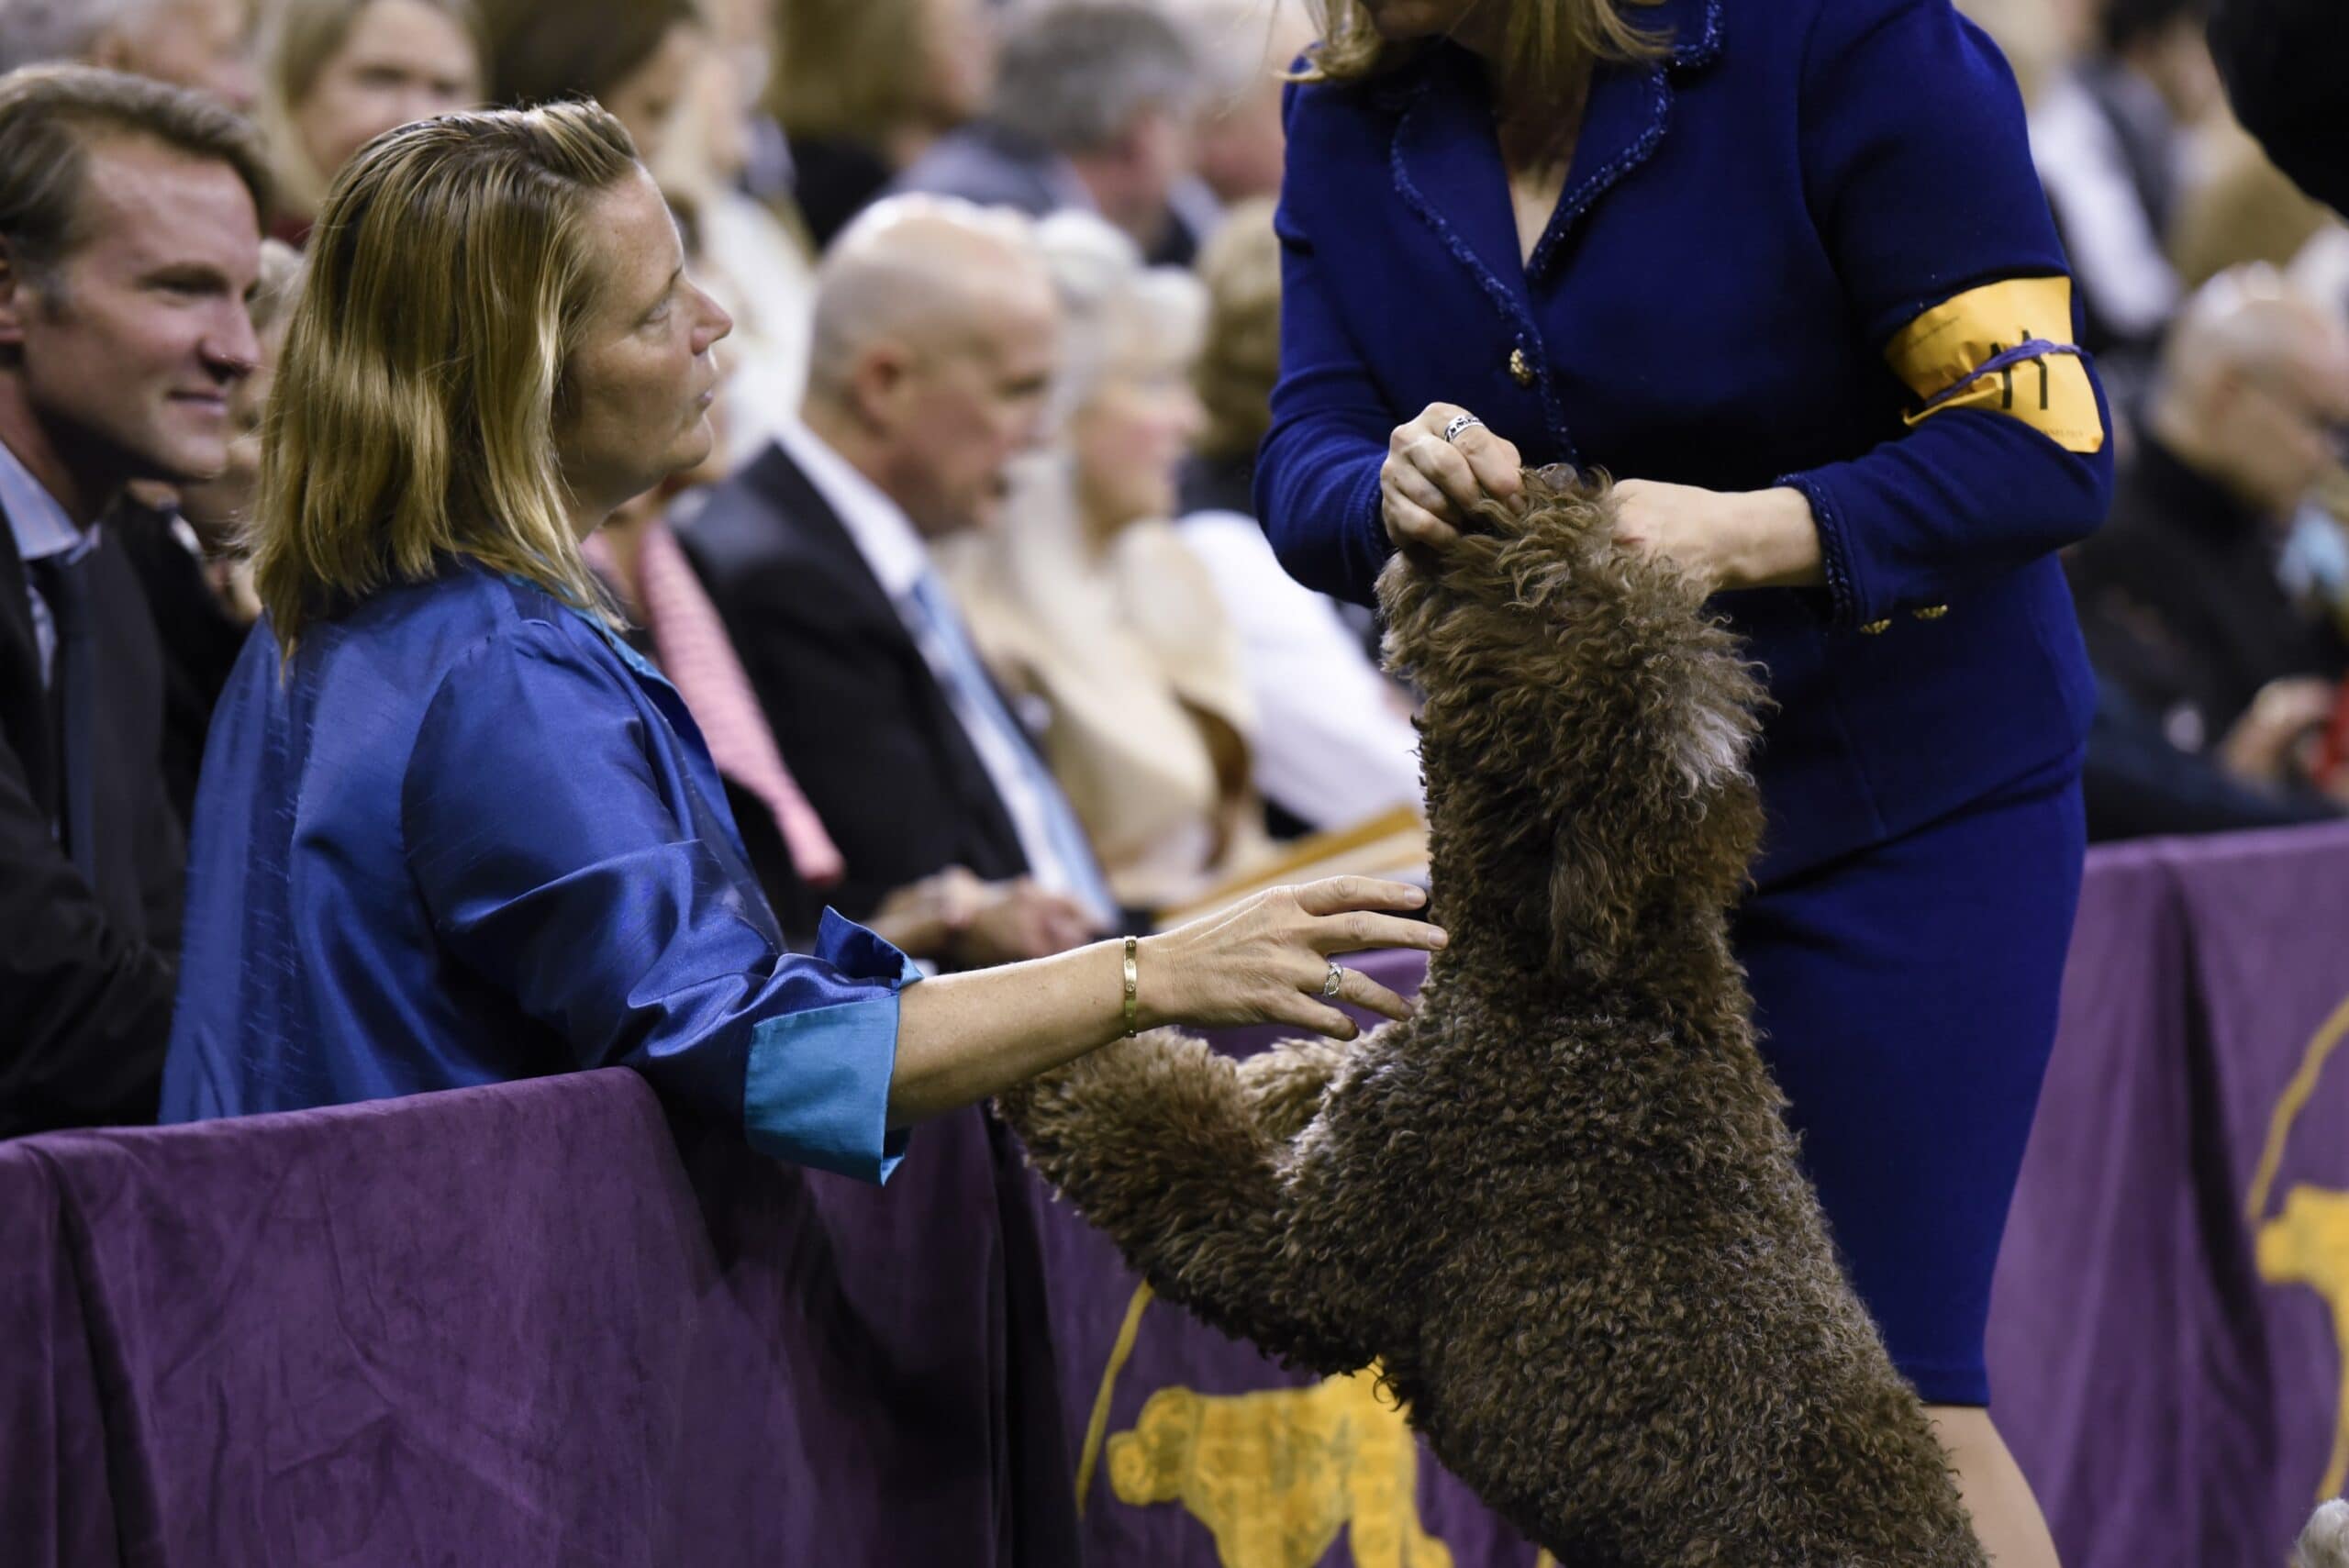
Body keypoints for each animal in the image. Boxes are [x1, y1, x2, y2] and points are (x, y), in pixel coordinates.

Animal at [1000, 469, 1991, 1568]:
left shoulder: (1326, 1246)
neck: (1600, 994)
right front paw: (1245, 1072)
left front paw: (1066, 1061)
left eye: (1545, 585)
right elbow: (1297, 1072)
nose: (1503, 478)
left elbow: (1168, 1146)